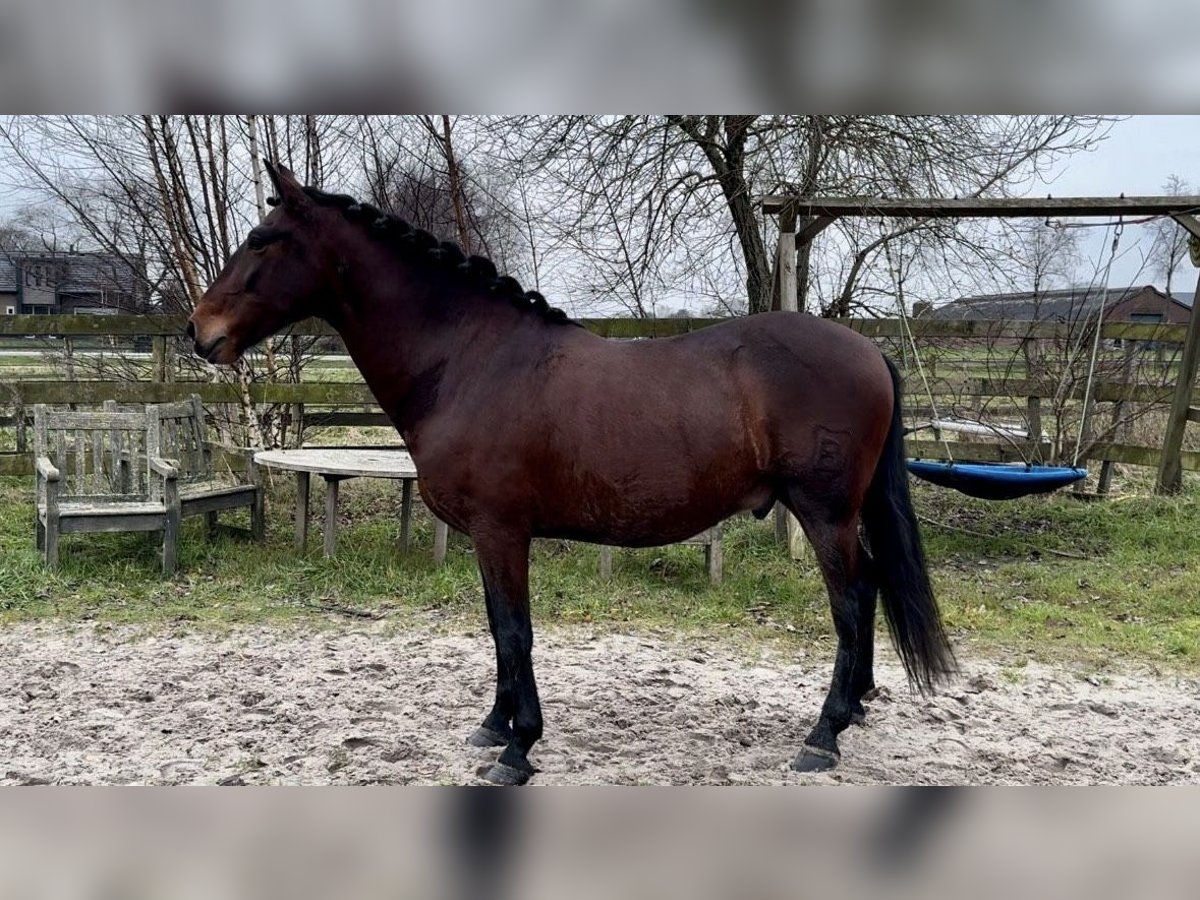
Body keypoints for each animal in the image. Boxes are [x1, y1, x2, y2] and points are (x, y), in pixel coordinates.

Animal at [187, 165, 955, 787]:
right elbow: (498, 628)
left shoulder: (501, 531)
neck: (468, 359)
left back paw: (823, 735)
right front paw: (494, 725)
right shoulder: (487, 537)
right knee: (870, 587)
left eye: (262, 239)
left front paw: (518, 748)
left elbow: (513, 631)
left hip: (825, 514)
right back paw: (855, 709)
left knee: (851, 602)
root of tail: (869, 352)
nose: (199, 331)